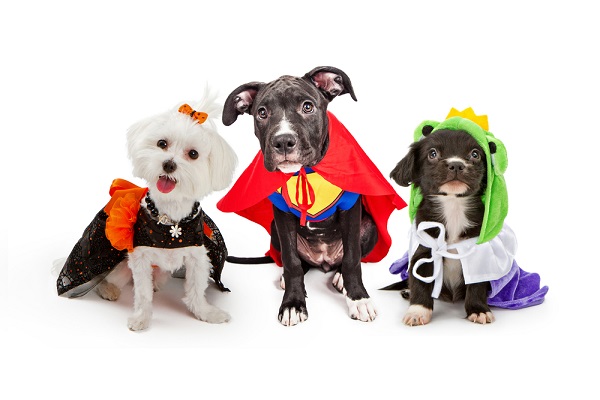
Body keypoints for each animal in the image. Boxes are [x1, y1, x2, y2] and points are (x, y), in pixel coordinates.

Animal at [54, 91, 237, 332]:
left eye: (193, 154)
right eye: (162, 143)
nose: (169, 164)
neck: (170, 221)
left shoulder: (197, 257)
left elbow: (196, 291)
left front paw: (207, 313)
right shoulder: (139, 257)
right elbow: (142, 293)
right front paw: (141, 318)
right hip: (121, 266)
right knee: (107, 280)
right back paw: (109, 290)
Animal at [218, 65, 406, 326]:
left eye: (307, 107)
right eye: (262, 113)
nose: (283, 141)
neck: (306, 172)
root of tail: (323, 261)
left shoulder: (350, 208)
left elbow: (352, 259)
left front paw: (358, 299)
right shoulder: (282, 215)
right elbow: (292, 261)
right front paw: (293, 303)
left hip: (370, 227)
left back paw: (340, 277)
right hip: (274, 229)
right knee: (300, 262)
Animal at [392, 117, 508, 324]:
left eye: (475, 154)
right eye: (433, 153)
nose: (456, 164)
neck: (453, 206)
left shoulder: (478, 255)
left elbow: (477, 285)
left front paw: (478, 310)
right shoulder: (425, 251)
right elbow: (420, 283)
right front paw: (418, 311)